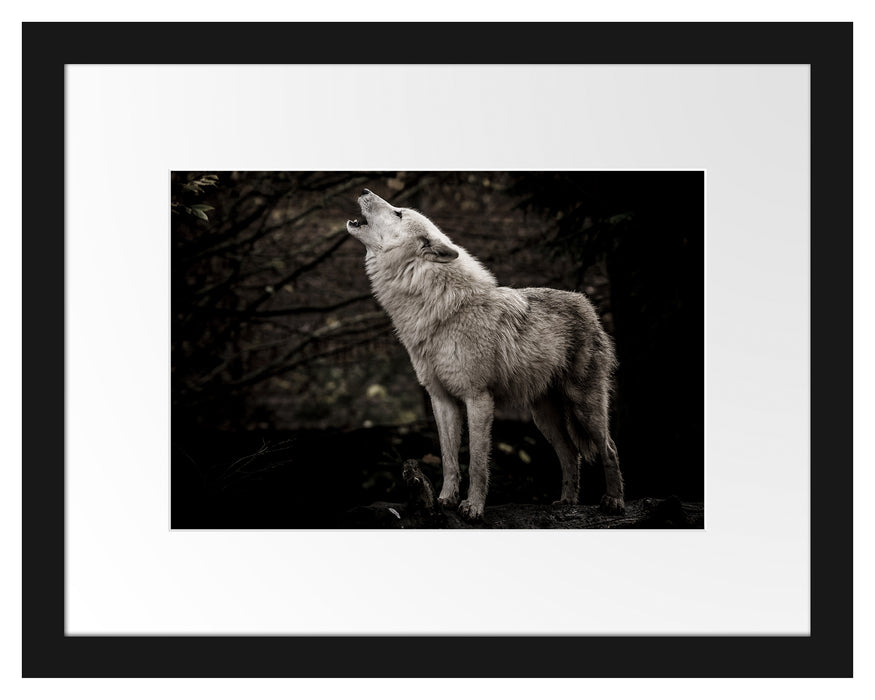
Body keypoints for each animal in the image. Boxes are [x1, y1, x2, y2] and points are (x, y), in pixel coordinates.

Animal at [347, 189, 624, 521]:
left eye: (398, 213)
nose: (365, 191)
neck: (440, 310)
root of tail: (586, 303)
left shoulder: (478, 398)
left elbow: (478, 462)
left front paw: (473, 508)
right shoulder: (441, 400)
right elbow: (449, 459)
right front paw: (445, 500)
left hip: (585, 406)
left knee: (609, 448)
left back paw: (614, 501)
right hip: (543, 417)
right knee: (570, 453)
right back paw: (567, 502)